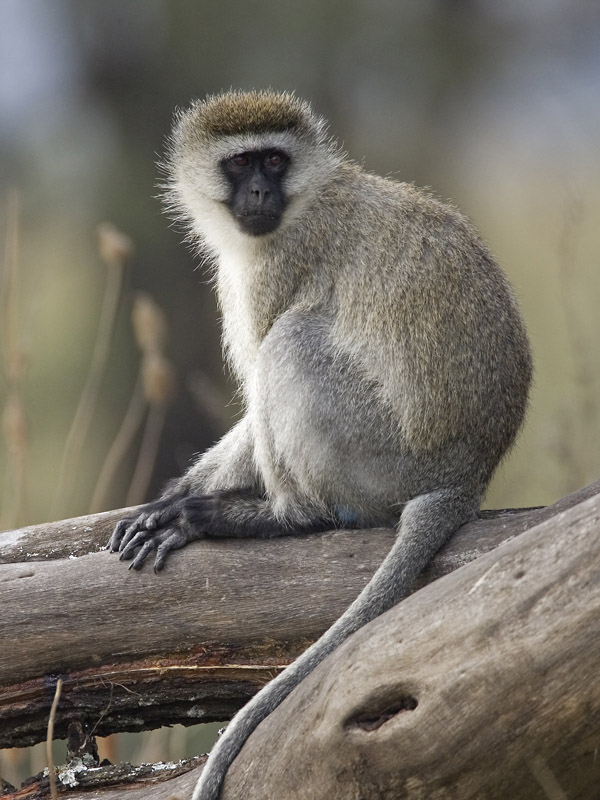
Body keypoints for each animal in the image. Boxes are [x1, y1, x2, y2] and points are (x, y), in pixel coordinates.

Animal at [108, 90, 528, 796]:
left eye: (274, 161)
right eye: (241, 162)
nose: (257, 189)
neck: (307, 199)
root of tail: (467, 476)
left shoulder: (281, 263)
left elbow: (259, 387)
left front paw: (188, 508)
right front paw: (170, 494)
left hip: (382, 459)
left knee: (291, 342)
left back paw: (280, 516)